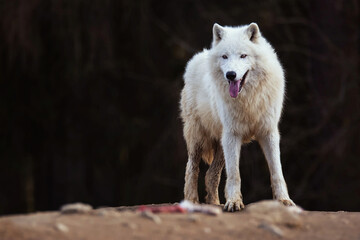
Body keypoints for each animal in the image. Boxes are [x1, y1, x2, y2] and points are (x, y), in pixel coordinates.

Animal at [180, 23, 296, 212]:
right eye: (225, 56)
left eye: (243, 55)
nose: (231, 74)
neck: (248, 99)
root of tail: (199, 56)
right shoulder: (232, 135)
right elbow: (234, 174)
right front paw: (234, 202)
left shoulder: (269, 132)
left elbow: (277, 171)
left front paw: (284, 200)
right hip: (198, 138)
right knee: (192, 169)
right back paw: (191, 201)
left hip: (220, 144)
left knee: (210, 175)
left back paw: (214, 203)